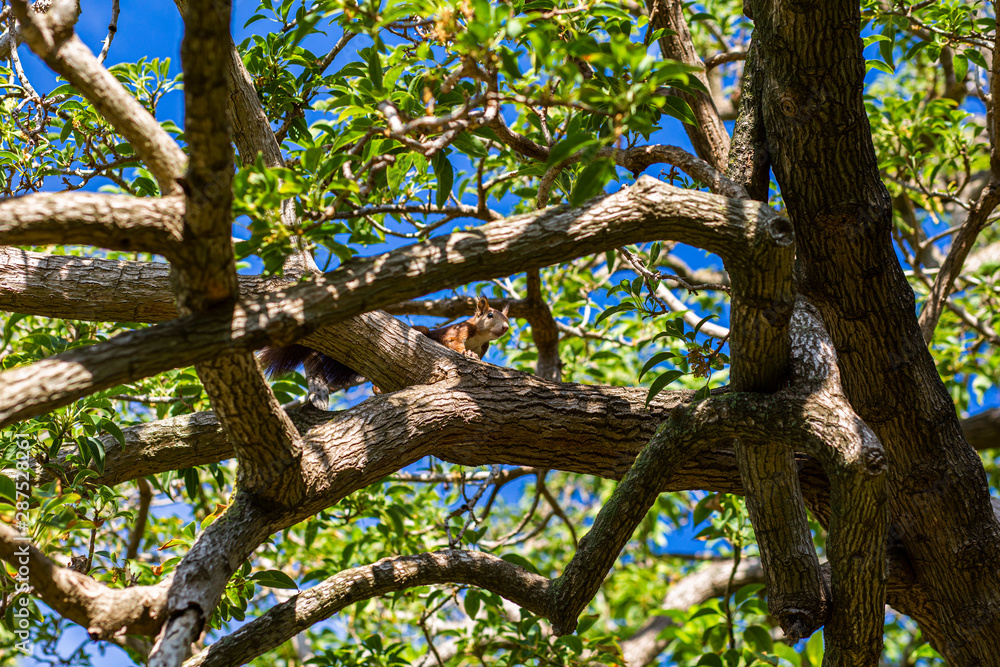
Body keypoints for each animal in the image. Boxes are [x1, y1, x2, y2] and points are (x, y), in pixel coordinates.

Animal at [258, 297, 510, 390]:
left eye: (506, 318)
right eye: (490, 315)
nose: (506, 328)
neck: (480, 336)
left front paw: (475, 356)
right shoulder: (460, 330)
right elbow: (452, 343)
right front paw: (468, 354)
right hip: (423, 332)